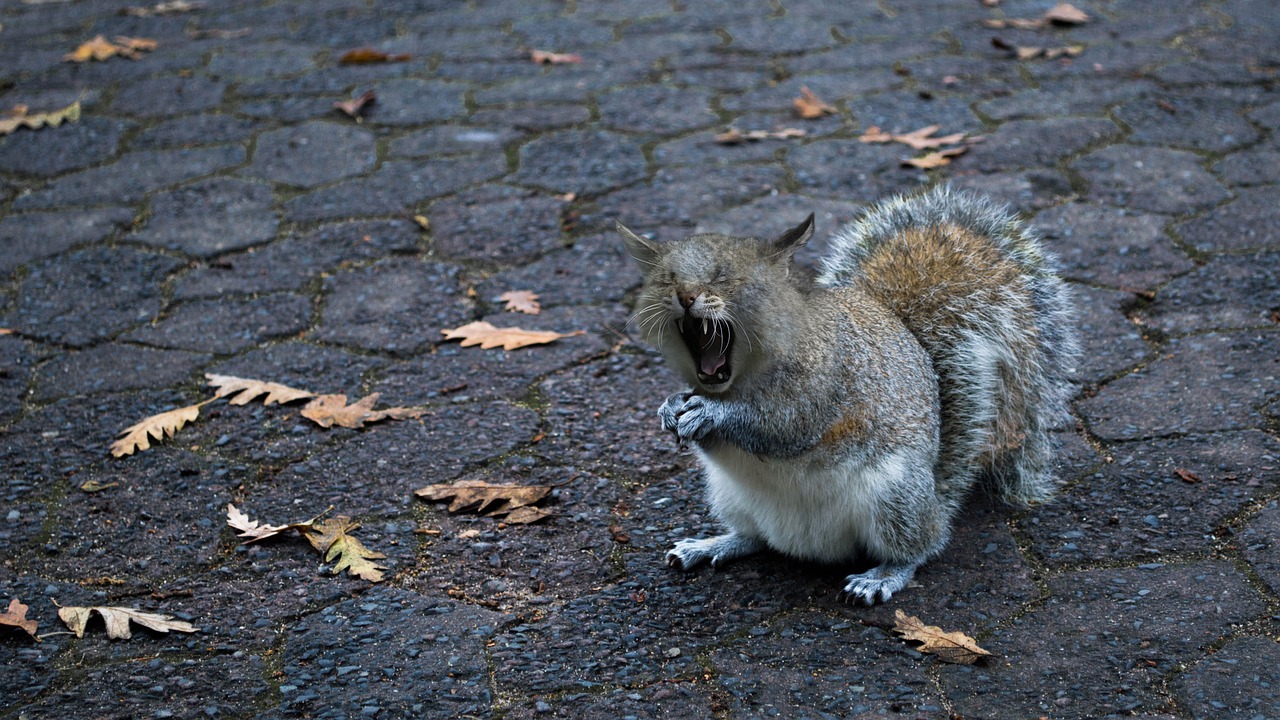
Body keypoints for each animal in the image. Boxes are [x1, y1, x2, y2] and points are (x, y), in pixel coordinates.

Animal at [614, 184, 1075, 599]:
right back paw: (712, 544)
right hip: (729, 496)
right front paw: (670, 406)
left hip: (895, 498)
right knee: (756, 538)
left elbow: (782, 427)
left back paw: (883, 576)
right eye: (664, 279)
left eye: (726, 276)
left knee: (921, 547)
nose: (685, 295)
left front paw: (712, 414)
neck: (740, 379)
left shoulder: (826, 384)